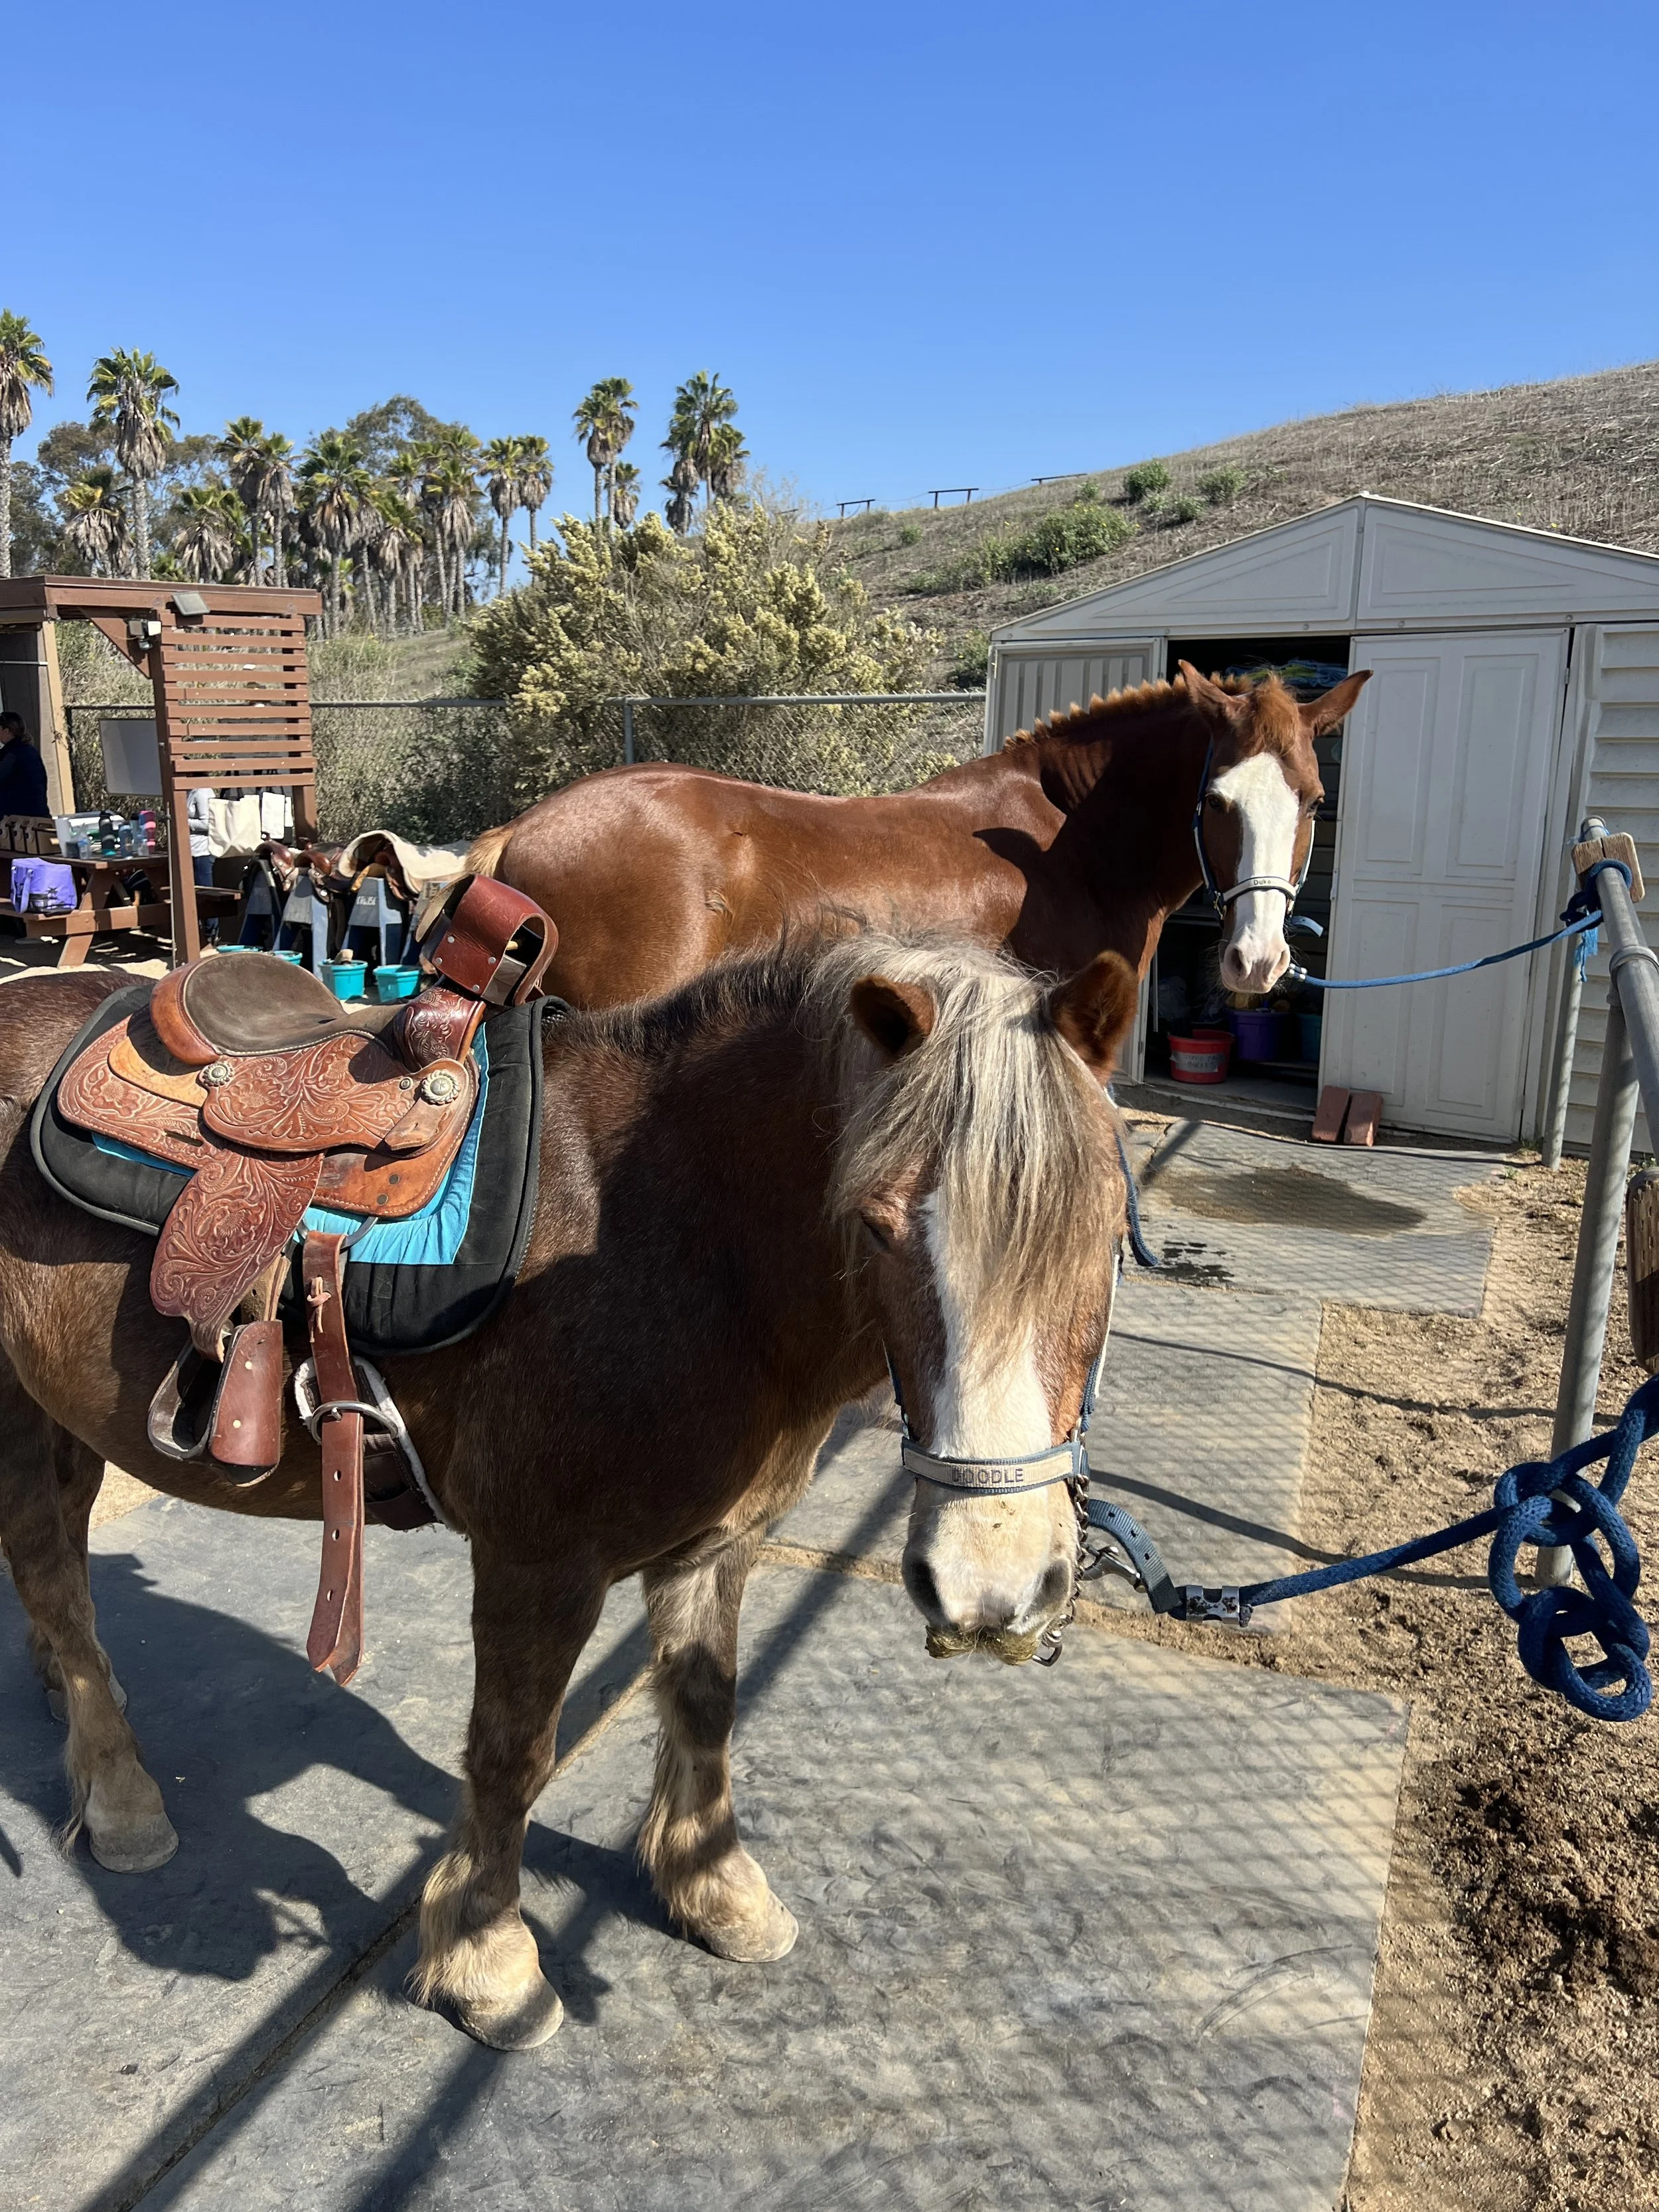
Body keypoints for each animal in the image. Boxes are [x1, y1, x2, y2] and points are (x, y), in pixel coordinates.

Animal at [0, 933, 1133, 2049]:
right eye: (881, 1224)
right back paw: (119, 1792)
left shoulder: (718, 1542)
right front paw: (488, 1960)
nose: (990, 1588)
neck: (677, 1235)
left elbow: (706, 1701)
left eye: (1109, 1227)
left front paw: (714, 1887)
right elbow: (514, 1753)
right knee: (47, 1563)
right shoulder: (538, 1563)